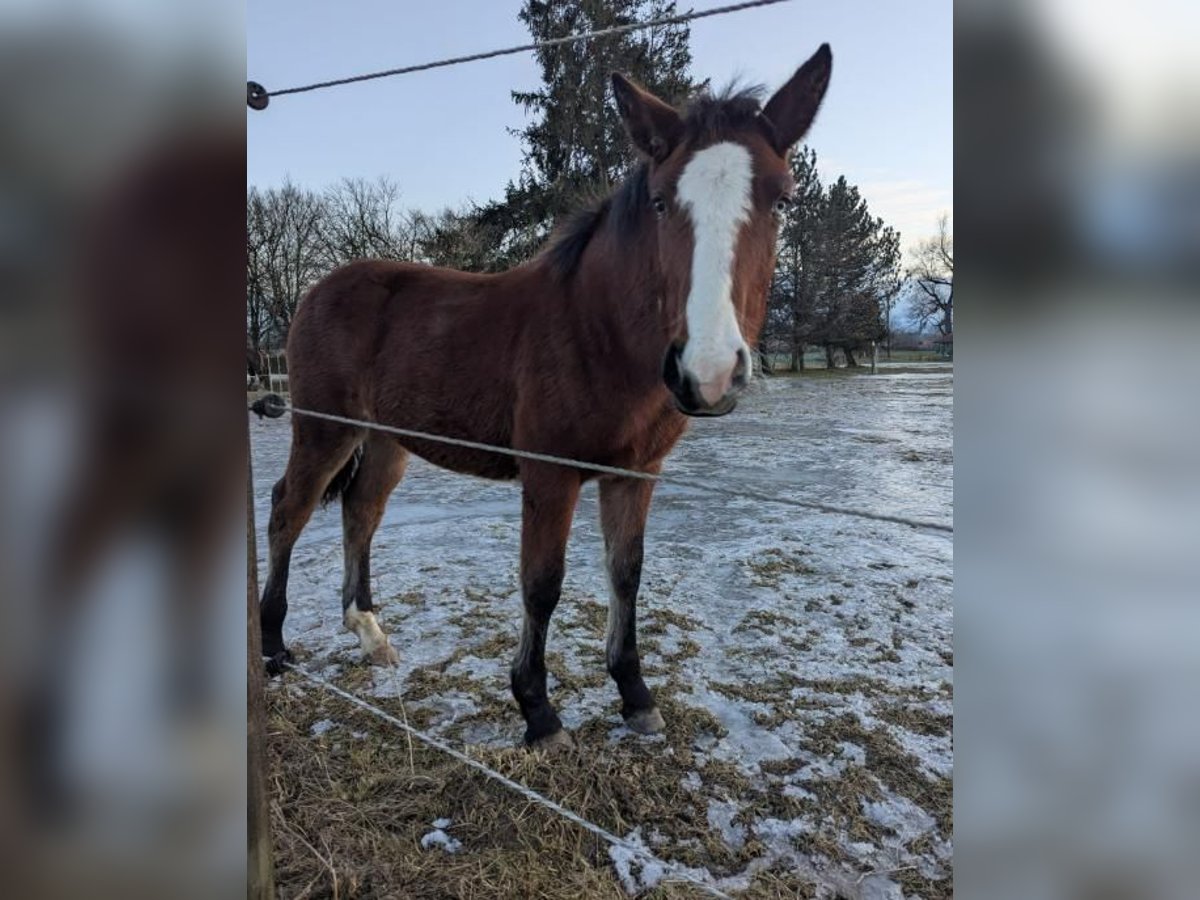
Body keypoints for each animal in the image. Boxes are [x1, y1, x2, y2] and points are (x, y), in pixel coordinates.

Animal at [258, 51, 830, 753]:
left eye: (782, 199)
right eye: (662, 201)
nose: (710, 372)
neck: (593, 329)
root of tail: (316, 289)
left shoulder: (634, 473)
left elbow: (625, 572)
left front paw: (636, 696)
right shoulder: (550, 475)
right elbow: (542, 584)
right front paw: (538, 711)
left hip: (386, 440)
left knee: (360, 512)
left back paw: (368, 632)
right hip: (324, 429)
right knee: (288, 511)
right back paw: (274, 647)